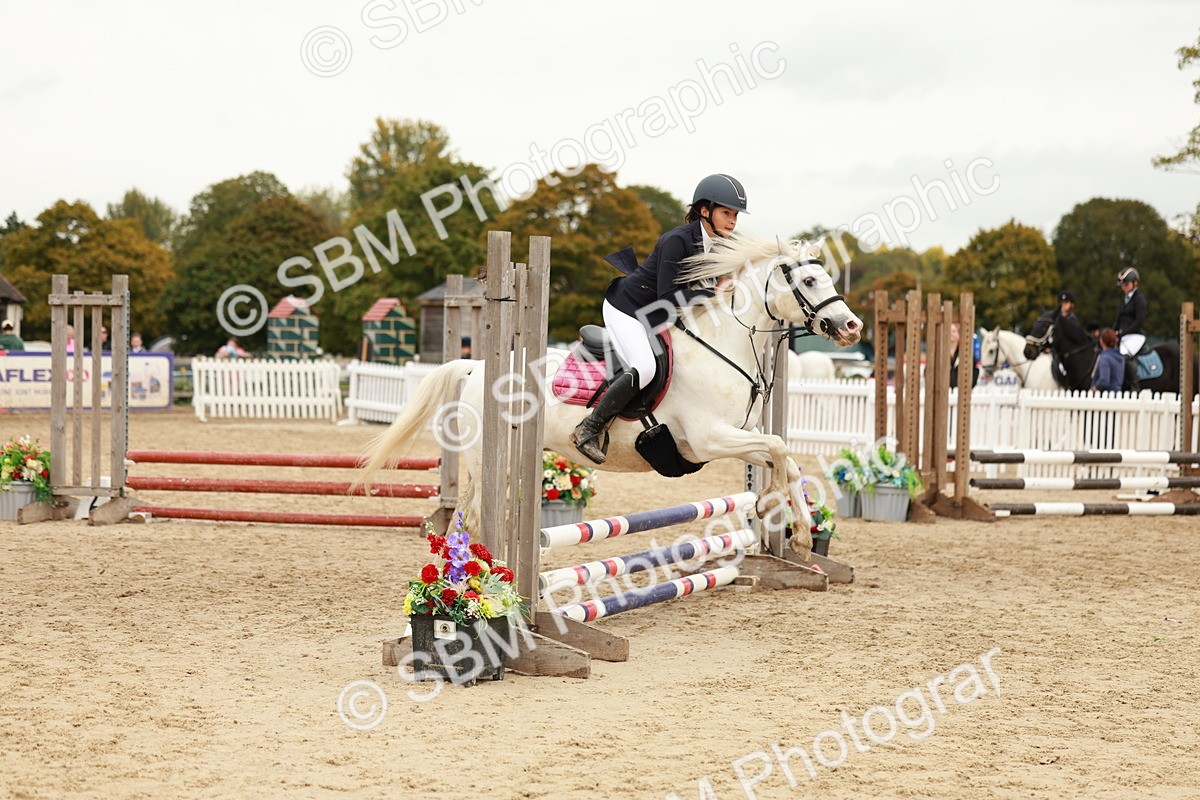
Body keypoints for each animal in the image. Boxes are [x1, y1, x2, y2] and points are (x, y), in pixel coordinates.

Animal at [358, 234, 863, 553]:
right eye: (811, 281)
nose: (852, 327)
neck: (726, 344)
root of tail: (478, 365)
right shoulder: (708, 439)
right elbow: (779, 448)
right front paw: (768, 504)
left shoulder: (735, 437)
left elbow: (786, 458)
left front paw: (798, 534)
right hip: (489, 457)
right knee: (477, 514)